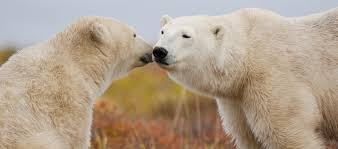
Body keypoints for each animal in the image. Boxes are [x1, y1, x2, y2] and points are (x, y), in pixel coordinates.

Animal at [154, 8, 338, 149]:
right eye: (163, 31)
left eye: (186, 35)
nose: (159, 51)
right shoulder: (237, 99)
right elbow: (248, 136)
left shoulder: (272, 80)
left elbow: (289, 135)